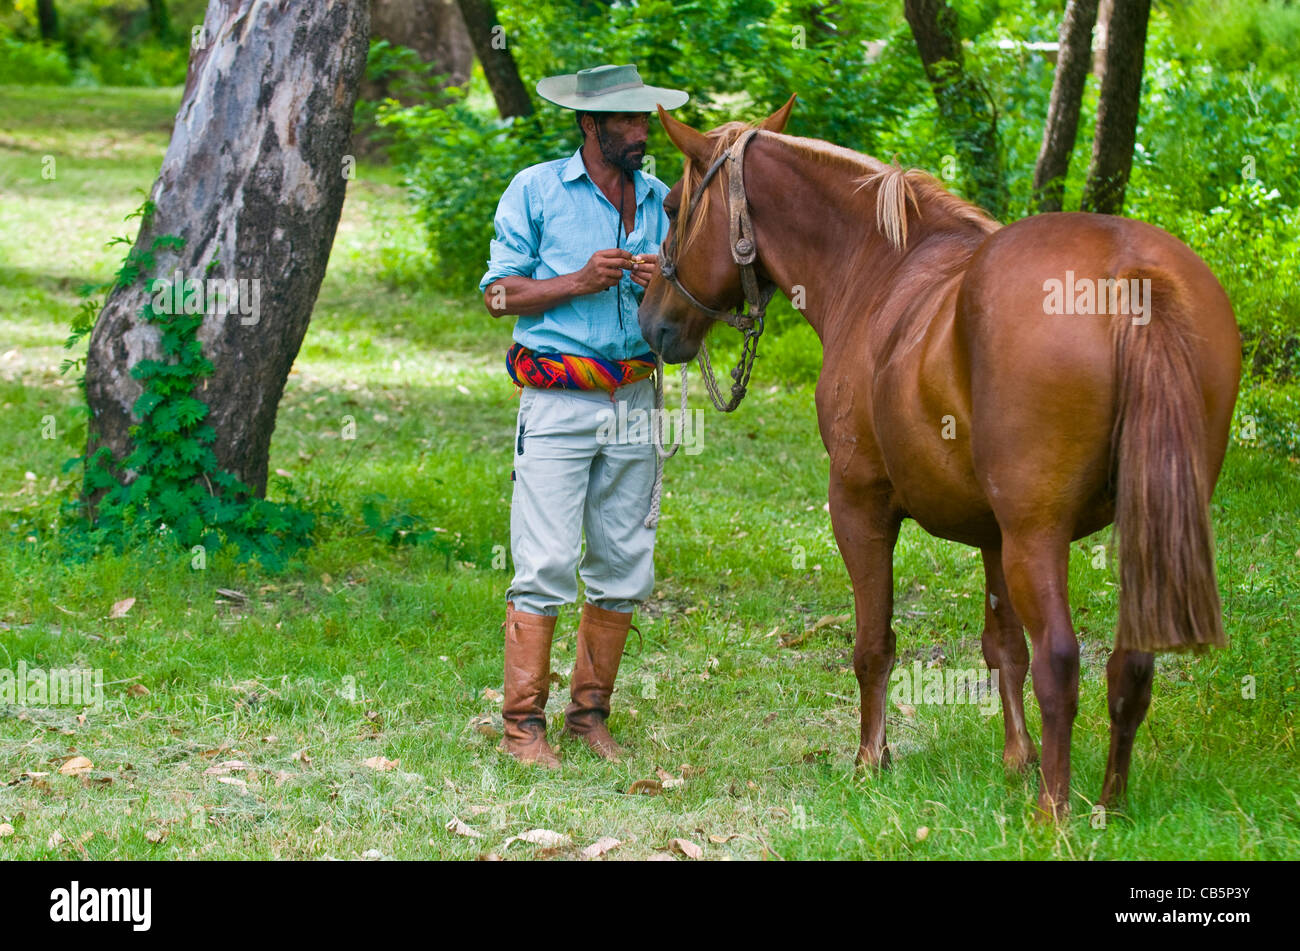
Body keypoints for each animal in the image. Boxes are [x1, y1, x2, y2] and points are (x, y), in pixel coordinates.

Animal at [637, 98, 1237, 826]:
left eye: (672, 207)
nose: (652, 323)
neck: (878, 270)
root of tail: (1131, 276)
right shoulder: (993, 534)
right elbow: (1003, 645)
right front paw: (1016, 758)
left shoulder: (859, 503)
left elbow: (874, 644)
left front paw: (871, 760)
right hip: (1132, 531)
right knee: (1129, 665)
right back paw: (1109, 805)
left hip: (1039, 535)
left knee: (1062, 661)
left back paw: (1054, 814)